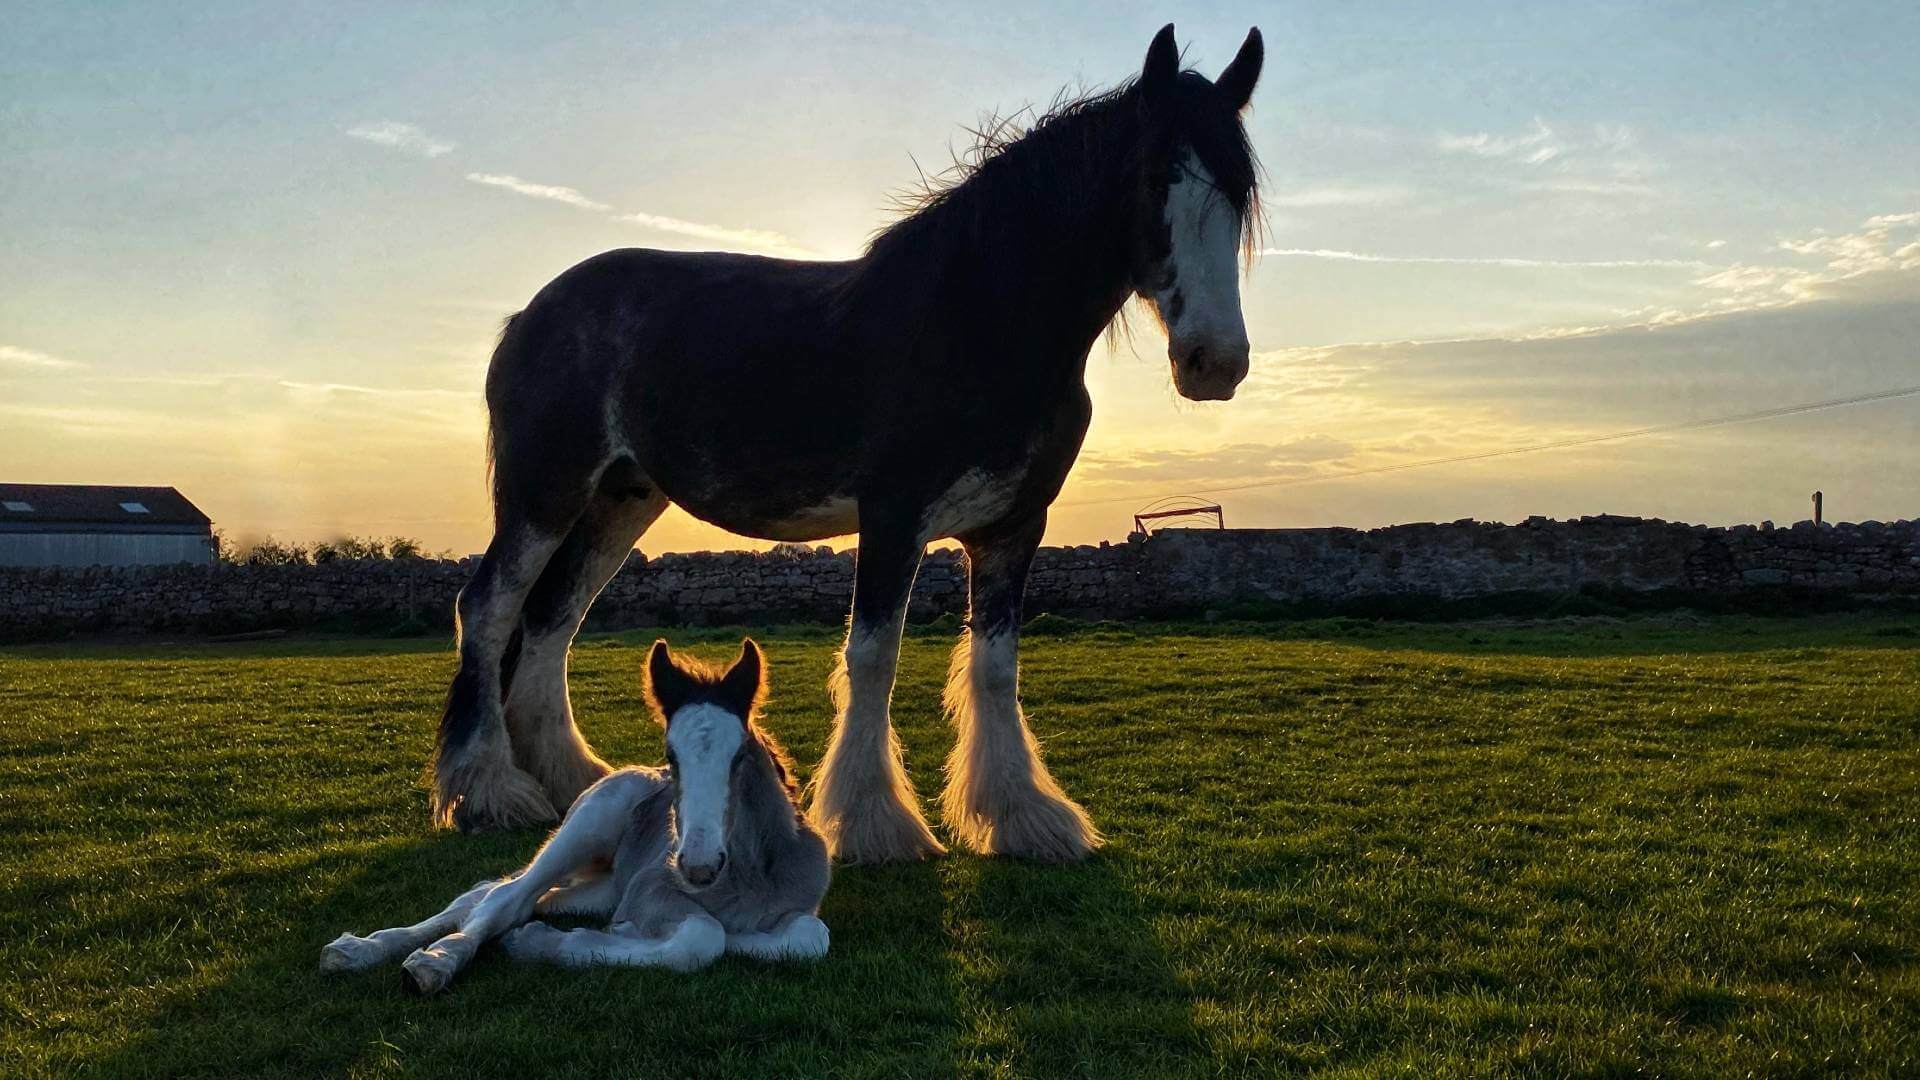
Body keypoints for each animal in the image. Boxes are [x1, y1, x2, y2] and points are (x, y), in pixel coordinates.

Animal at [318, 634, 829, 991]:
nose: (698, 867)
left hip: (603, 885)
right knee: (504, 896)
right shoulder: (649, 889)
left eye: (740, 756)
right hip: (588, 824)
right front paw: (548, 942)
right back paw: (417, 959)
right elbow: (703, 937)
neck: (747, 878)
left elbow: (807, 937)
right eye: (672, 756)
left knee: (505, 896)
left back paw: (367, 950)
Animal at [432, 25, 1259, 860]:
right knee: (491, 609)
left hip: (619, 502)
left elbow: (996, 668)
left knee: (552, 622)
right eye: (1156, 176)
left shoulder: (1014, 529)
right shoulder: (893, 517)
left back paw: (573, 782)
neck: (977, 326)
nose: (1213, 363)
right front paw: (875, 824)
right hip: (545, 493)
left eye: (1241, 195)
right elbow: (872, 658)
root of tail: (531, 314)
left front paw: (1023, 816)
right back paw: (490, 793)